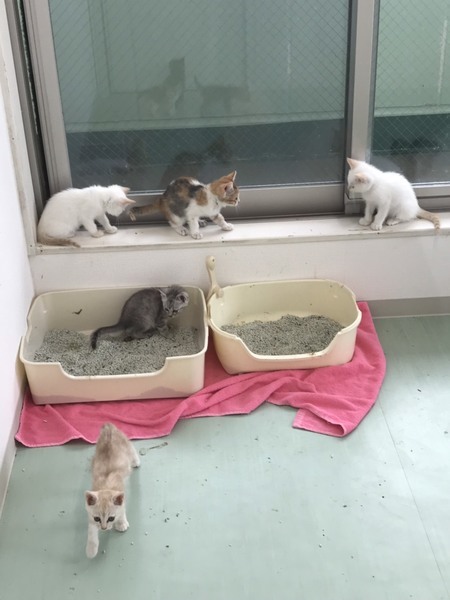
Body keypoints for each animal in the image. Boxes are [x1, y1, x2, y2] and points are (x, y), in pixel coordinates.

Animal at [85, 422, 140, 559]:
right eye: (97, 519)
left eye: (111, 518)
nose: (104, 528)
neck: (106, 486)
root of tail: (109, 427)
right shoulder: (91, 517)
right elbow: (91, 530)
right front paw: (91, 549)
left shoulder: (122, 496)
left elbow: (122, 510)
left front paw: (121, 523)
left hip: (126, 444)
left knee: (132, 449)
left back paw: (136, 461)